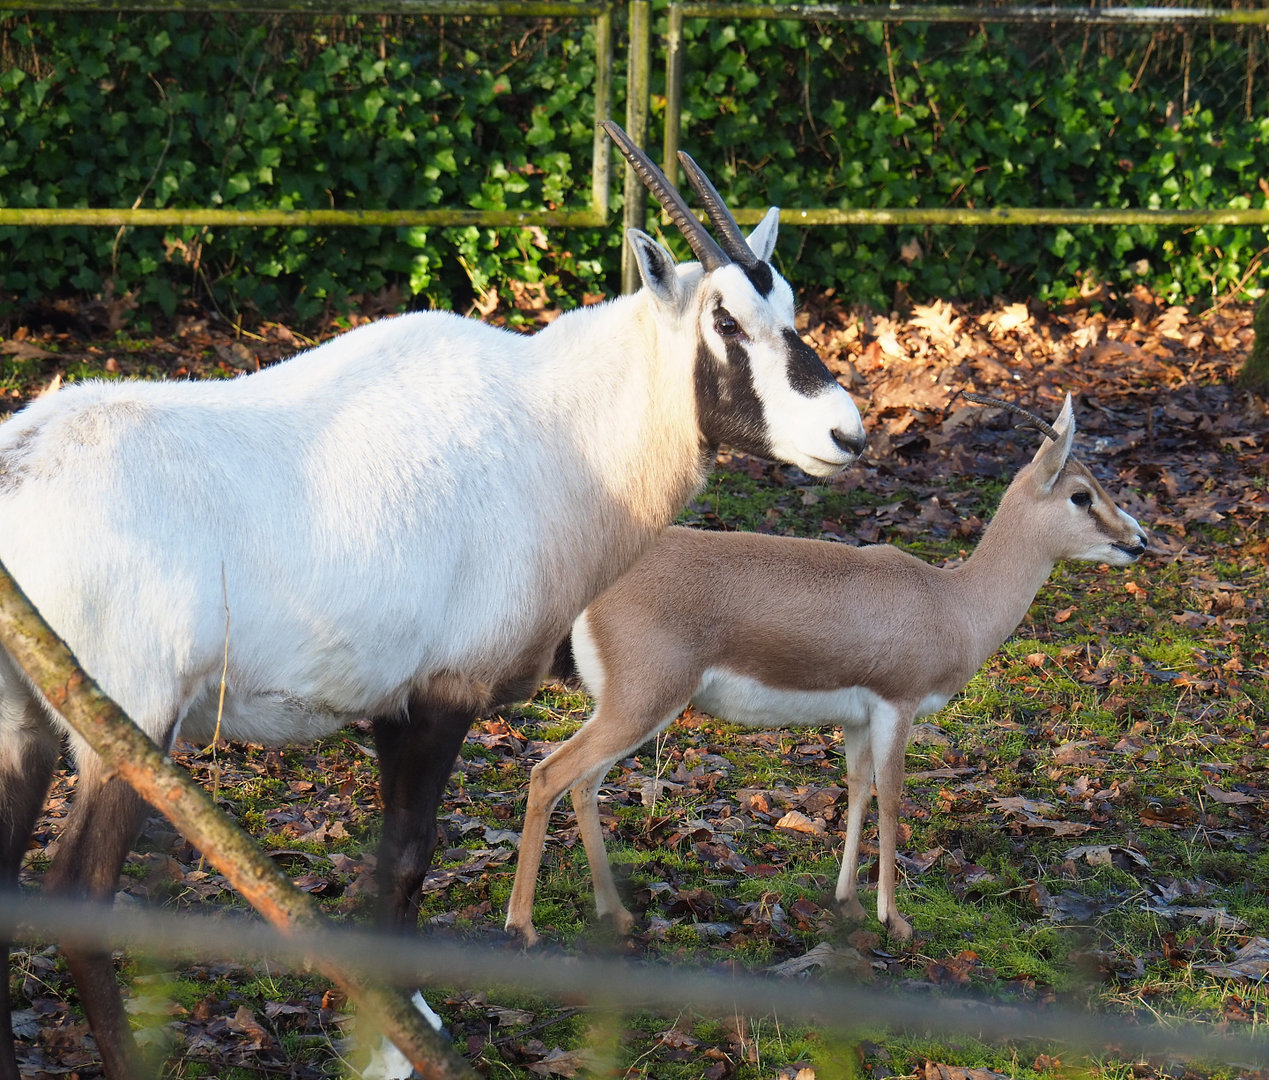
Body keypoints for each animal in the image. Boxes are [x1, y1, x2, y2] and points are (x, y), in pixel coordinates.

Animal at [0, 121, 865, 1080]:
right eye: (723, 319)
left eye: (787, 306)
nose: (846, 434)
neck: (552, 427)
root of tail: (22, 465)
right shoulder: (441, 699)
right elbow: (408, 861)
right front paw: (398, 1043)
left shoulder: (388, 707)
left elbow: (390, 863)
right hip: (126, 727)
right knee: (78, 896)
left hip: (24, 724)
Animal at [505, 394, 1148, 946]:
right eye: (1082, 495)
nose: (1139, 541)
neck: (953, 602)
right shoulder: (897, 706)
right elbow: (892, 798)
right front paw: (896, 920)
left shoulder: (858, 719)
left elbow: (858, 789)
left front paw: (850, 903)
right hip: (642, 702)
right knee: (549, 774)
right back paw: (523, 926)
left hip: (626, 708)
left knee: (583, 784)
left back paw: (615, 915)